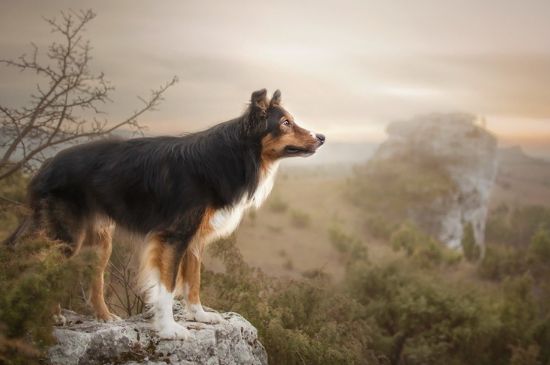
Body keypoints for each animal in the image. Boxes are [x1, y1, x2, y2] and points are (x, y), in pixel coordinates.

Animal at [2, 88, 326, 338]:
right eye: (285, 122)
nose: (322, 137)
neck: (233, 154)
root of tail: (46, 165)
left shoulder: (194, 238)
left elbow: (193, 278)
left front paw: (199, 315)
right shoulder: (173, 236)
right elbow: (167, 287)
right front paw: (170, 329)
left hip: (100, 241)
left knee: (96, 282)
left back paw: (105, 318)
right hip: (67, 237)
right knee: (44, 266)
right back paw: (52, 316)